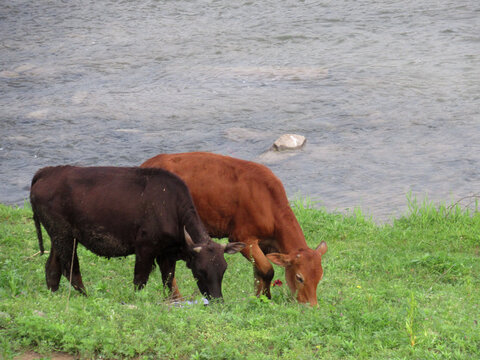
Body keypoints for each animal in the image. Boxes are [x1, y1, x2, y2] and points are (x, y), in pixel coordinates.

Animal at [30, 167, 246, 300]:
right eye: (200, 270)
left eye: (224, 269)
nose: (218, 300)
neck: (171, 207)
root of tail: (47, 171)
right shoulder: (145, 249)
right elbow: (139, 281)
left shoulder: (166, 254)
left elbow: (168, 282)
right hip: (64, 236)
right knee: (71, 270)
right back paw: (87, 297)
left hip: (58, 237)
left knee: (52, 268)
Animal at [139, 152, 326, 306]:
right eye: (299, 277)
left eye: (320, 277)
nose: (311, 306)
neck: (268, 202)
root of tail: (147, 163)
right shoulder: (242, 237)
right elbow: (267, 270)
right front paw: (265, 298)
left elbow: (258, 272)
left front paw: (258, 298)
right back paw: (176, 299)